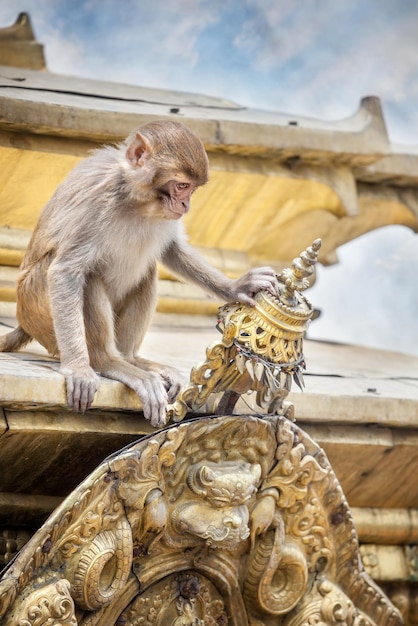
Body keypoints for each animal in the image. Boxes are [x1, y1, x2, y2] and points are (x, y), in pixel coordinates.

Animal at [0, 120, 280, 426]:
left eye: (192, 190)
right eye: (182, 186)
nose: (186, 205)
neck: (138, 200)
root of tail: (24, 320)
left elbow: (171, 249)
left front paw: (237, 286)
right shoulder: (96, 199)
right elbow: (65, 272)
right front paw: (78, 368)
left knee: (147, 272)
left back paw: (132, 360)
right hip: (39, 308)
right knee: (88, 277)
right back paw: (106, 361)